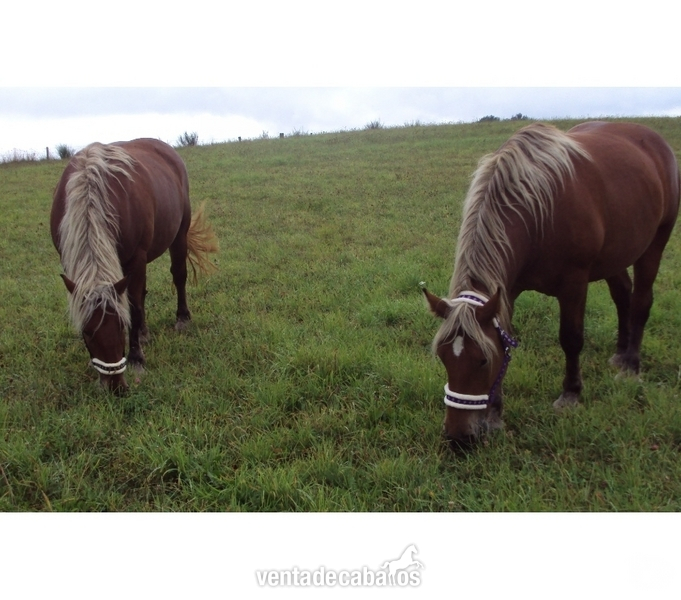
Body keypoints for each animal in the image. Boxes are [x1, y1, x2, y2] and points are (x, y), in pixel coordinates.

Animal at [50, 138, 218, 393]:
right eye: (87, 331)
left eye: (121, 325)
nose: (115, 386)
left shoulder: (136, 260)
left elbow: (135, 308)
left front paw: (137, 358)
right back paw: (144, 332)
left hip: (178, 235)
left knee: (178, 276)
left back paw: (182, 319)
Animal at [423, 121, 680, 450]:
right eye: (444, 358)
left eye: (482, 361)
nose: (458, 437)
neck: (538, 211)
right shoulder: (508, 290)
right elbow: (505, 337)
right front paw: (495, 414)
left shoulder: (574, 283)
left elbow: (571, 338)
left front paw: (571, 393)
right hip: (616, 254)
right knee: (623, 295)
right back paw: (620, 353)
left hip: (654, 244)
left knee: (641, 302)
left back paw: (631, 365)